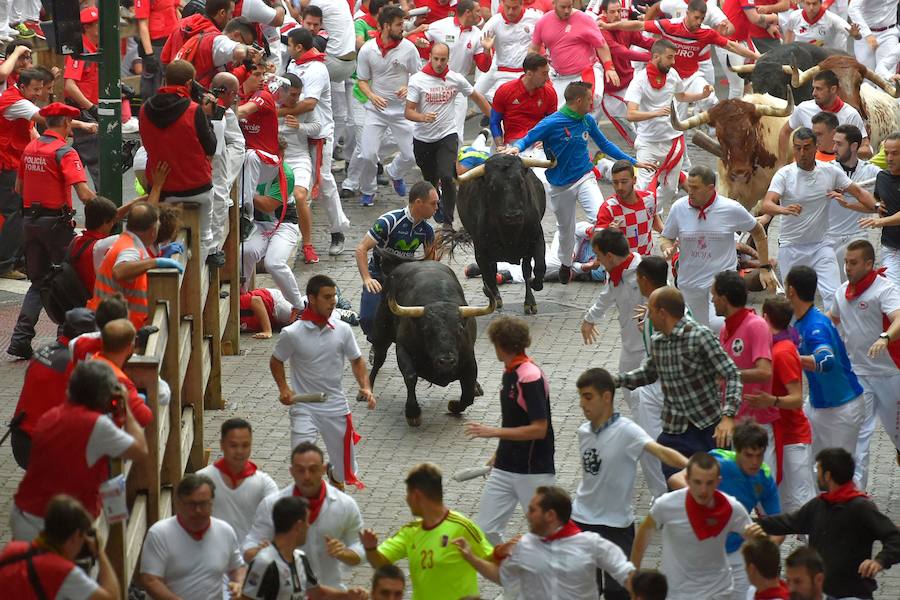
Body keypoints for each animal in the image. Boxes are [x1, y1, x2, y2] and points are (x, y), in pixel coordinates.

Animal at [362, 260, 496, 424]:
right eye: (426, 329)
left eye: (459, 329)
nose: (446, 361)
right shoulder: (403, 349)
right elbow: (410, 376)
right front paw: (413, 413)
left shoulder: (469, 358)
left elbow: (468, 395)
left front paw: (454, 405)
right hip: (382, 332)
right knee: (378, 359)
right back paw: (366, 391)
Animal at [458, 154, 548, 314]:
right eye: (492, 186)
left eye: (520, 182)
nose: (513, 216)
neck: (510, 232)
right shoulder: (480, 249)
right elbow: (488, 275)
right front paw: (492, 295)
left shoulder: (537, 237)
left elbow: (539, 267)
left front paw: (533, 291)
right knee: (491, 270)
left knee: (525, 269)